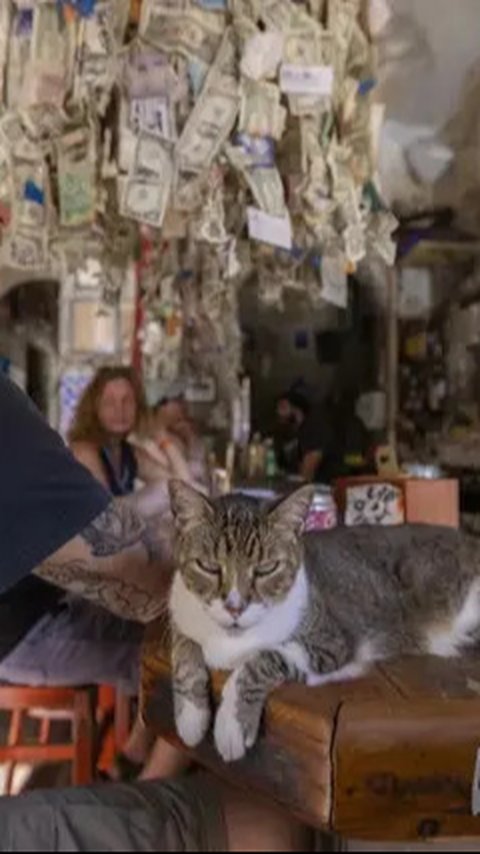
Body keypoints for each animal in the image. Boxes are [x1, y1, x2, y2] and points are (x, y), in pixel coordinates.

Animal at [168, 478, 480, 764]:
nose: (235, 607)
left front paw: (232, 722)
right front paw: (191, 716)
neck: (231, 640)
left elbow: (263, 656)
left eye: (266, 569)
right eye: (209, 567)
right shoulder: (179, 617)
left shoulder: (331, 646)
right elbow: (184, 649)